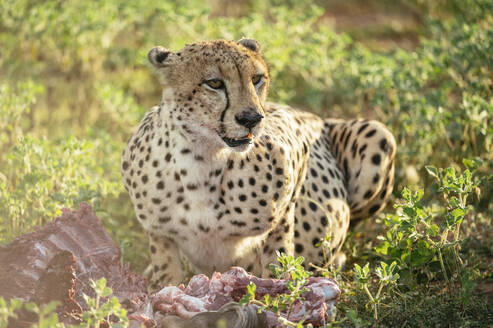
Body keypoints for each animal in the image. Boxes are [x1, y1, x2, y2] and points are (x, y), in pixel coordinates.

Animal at [122, 39, 396, 288]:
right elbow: (166, 272)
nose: (251, 119)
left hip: (380, 134)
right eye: (214, 83)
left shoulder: (291, 164)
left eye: (256, 79)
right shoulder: (159, 232)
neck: (203, 160)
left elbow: (278, 258)